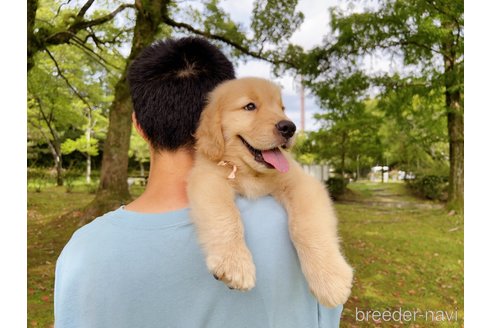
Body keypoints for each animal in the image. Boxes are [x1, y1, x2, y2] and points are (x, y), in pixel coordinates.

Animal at [186, 77, 352, 308]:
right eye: (250, 106)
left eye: (282, 108)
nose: (289, 127)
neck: (251, 173)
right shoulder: (209, 177)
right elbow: (226, 216)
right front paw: (235, 263)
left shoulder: (302, 184)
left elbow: (306, 226)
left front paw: (330, 280)